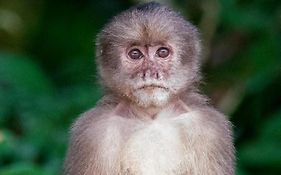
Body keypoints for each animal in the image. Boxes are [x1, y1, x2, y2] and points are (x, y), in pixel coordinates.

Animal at [63, 1, 234, 175]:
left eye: (162, 52)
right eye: (135, 54)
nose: (151, 72)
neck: (152, 118)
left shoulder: (210, 129)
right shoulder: (93, 132)